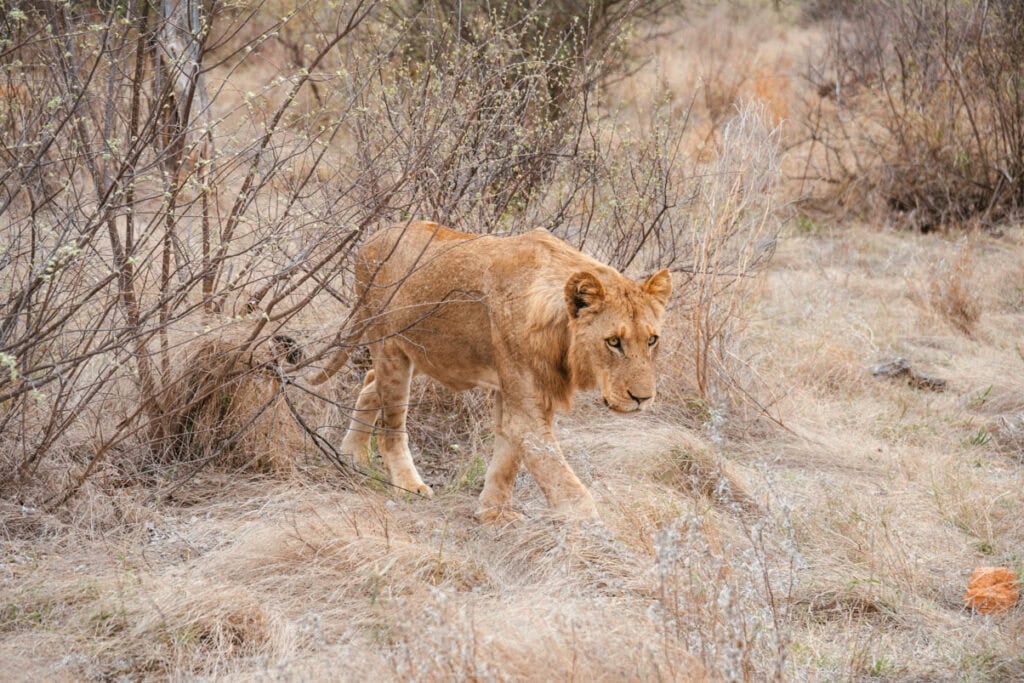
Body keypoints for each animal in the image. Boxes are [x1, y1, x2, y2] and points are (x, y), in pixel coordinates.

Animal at [311, 222, 671, 520]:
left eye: (652, 339)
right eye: (613, 342)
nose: (642, 398)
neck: (558, 331)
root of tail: (371, 238)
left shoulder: (519, 394)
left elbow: (507, 460)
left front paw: (493, 513)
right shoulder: (525, 403)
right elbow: (560, 478)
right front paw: (595, 536)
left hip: (424, 353)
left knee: (369, 383)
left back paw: (352, 455)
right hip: (390, 347)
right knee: (392, 427)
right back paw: (408, 485)